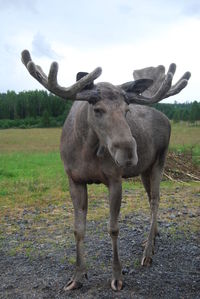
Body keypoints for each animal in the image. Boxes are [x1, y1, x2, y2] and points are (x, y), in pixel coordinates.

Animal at [21, 50, 190, 292]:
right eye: (97, 109)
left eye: (127, 110)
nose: (128, 152)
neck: (86, 150)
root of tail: (165, 117)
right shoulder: (74, 179)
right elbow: (78, 229)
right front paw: (77, 276)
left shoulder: (115, 179)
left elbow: (113, 228)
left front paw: (117, 276)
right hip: (144, 168)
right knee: (151, 198)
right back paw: (153, 238)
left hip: (160, 159)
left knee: (156, 200)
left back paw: (148, 253)